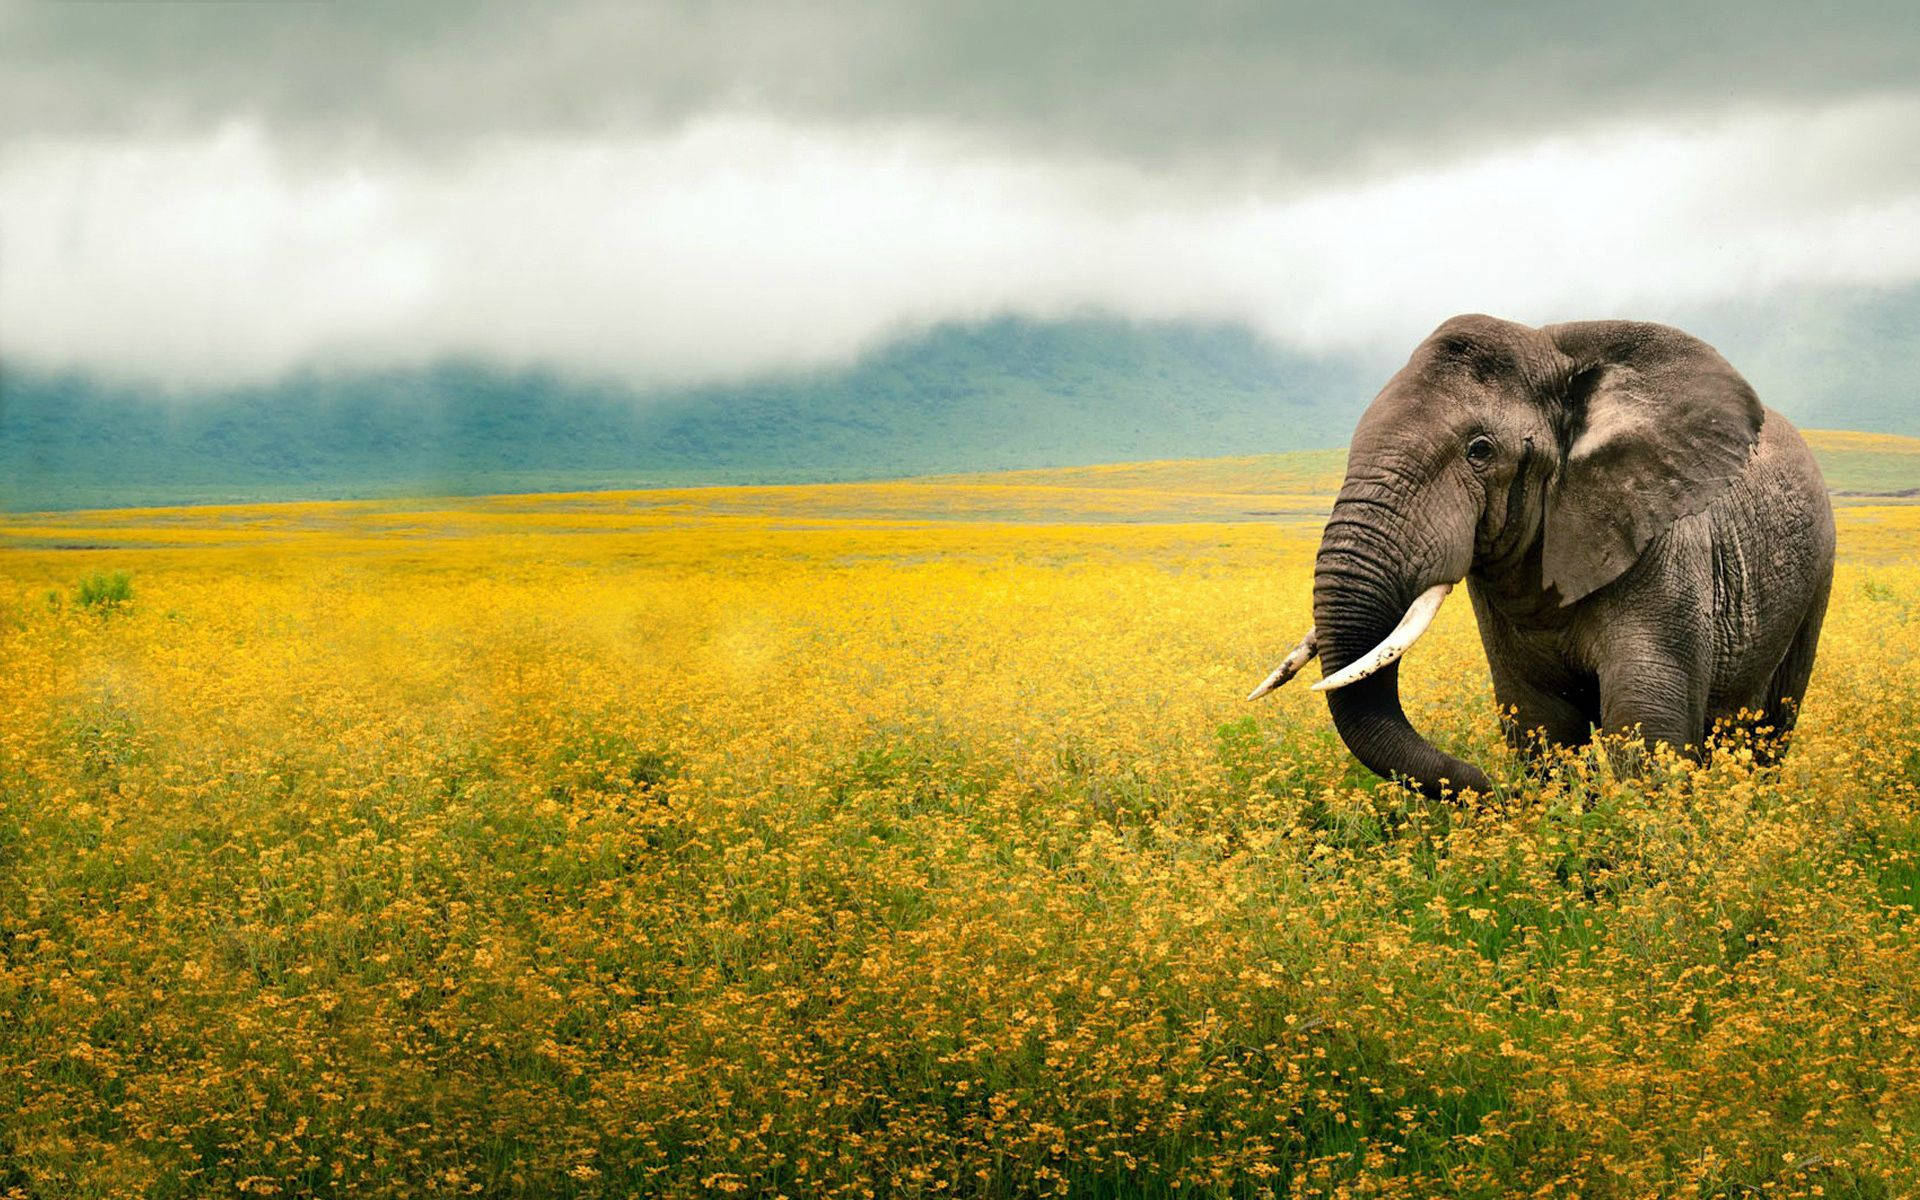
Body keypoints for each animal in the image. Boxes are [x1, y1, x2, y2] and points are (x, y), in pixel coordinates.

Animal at [1248, 314, 1835, 798]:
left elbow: (1645, 726)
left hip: (1816, 578)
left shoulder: (1668, 549)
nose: (1487, 787)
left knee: (1769, 727)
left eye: (1480, 451)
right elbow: (1541, 722)